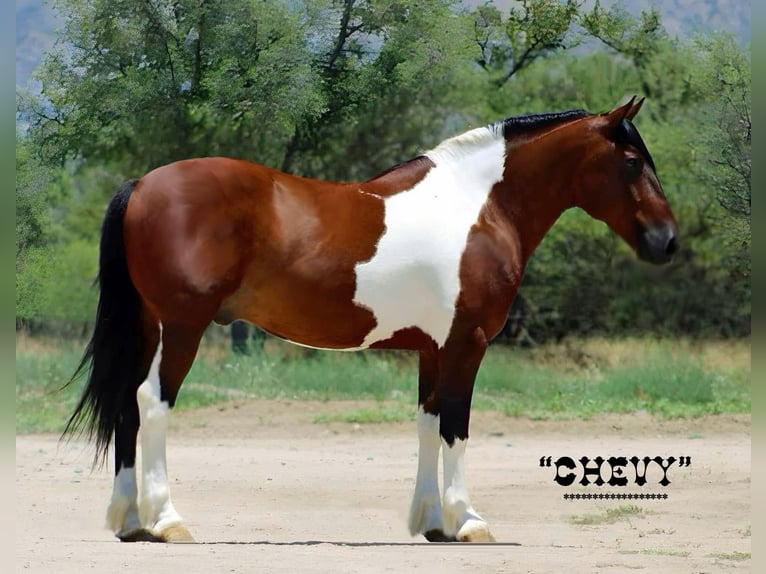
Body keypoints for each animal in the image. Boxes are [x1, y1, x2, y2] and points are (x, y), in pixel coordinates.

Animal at [63, 96, 678, 544]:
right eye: (632, 162)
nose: (667, 242)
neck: (478, 208)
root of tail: (143, 184)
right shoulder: (467, 343)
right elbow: (456, 426)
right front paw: (468, 521)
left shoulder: (434, 348)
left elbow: (428, 423)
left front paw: (431, 523)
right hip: (182, 328)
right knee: (151, 402)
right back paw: (167, 520)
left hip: (148, 328)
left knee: (125, 407)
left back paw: (130, 521)